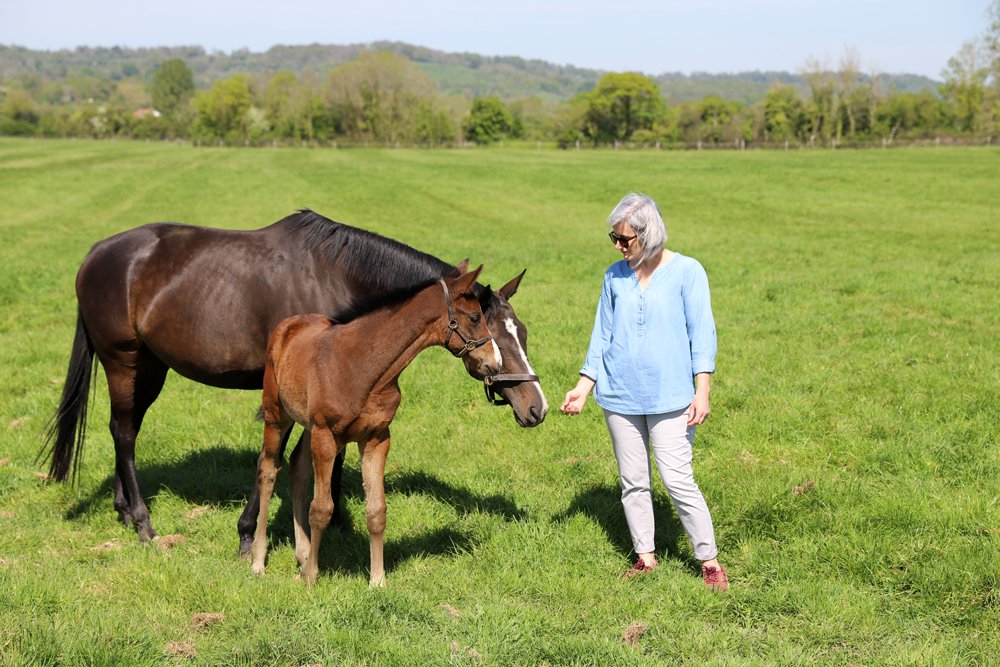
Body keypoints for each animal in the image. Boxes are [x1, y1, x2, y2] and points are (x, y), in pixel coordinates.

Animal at [43, 210, 548, 546]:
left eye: (520, 331)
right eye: (486, 328)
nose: (536, 407)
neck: (339, 279)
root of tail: (95, 255)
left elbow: (334, 456)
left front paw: (339, 519)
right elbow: (278, 457)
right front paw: (250, 532)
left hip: (150, 365)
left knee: (121, 427)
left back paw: (123, 509)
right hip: (123, 361)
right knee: (125, 432)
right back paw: (143, 521)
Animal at [252, 267, 494, 586]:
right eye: (476, 317)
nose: (494, 364)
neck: (363, 367)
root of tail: (288, 325)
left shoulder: (377, 437)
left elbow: (377, 510)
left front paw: (377, 580)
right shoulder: (326, 436)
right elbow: (322, 508)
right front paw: (311, 578)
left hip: (308, 426)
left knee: (297, 470)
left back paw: (302, 554)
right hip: (277, 415)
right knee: (268, 471)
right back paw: (258, 560)